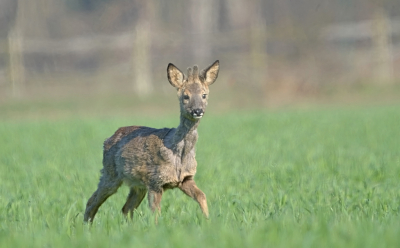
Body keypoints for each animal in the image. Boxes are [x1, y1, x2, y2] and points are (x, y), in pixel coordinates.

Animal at [83, 60, 220, 223]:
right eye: (185, 96)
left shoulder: (185, 179)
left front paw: (208, 221)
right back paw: (86, 225)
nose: (197, 110)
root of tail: (108, 139)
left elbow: (202, 196)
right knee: (92, 201)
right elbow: (156, 214)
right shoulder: (155, 181)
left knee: (126, 208)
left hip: (137, 184)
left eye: (204, 95)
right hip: (111, 174)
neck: (178, 153)